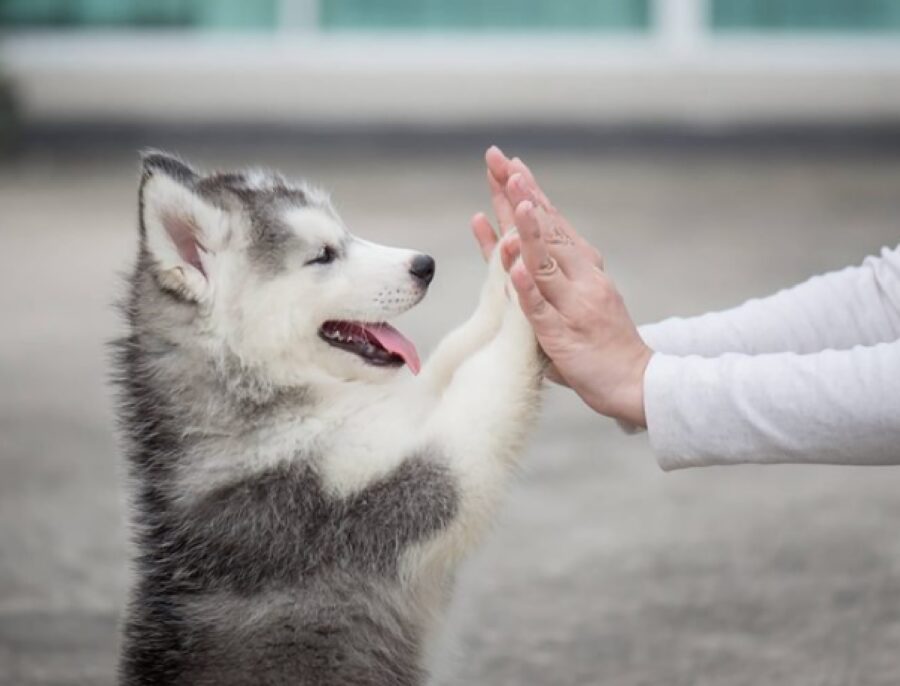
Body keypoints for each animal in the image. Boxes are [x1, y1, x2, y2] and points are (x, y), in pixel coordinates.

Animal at [116, 153, 544, 684]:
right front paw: (531, 291)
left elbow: (450, 356)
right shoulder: (384, 495)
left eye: (345, 234)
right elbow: (483, 385)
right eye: (323, 255)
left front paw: (507, 263)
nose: (425, 265)